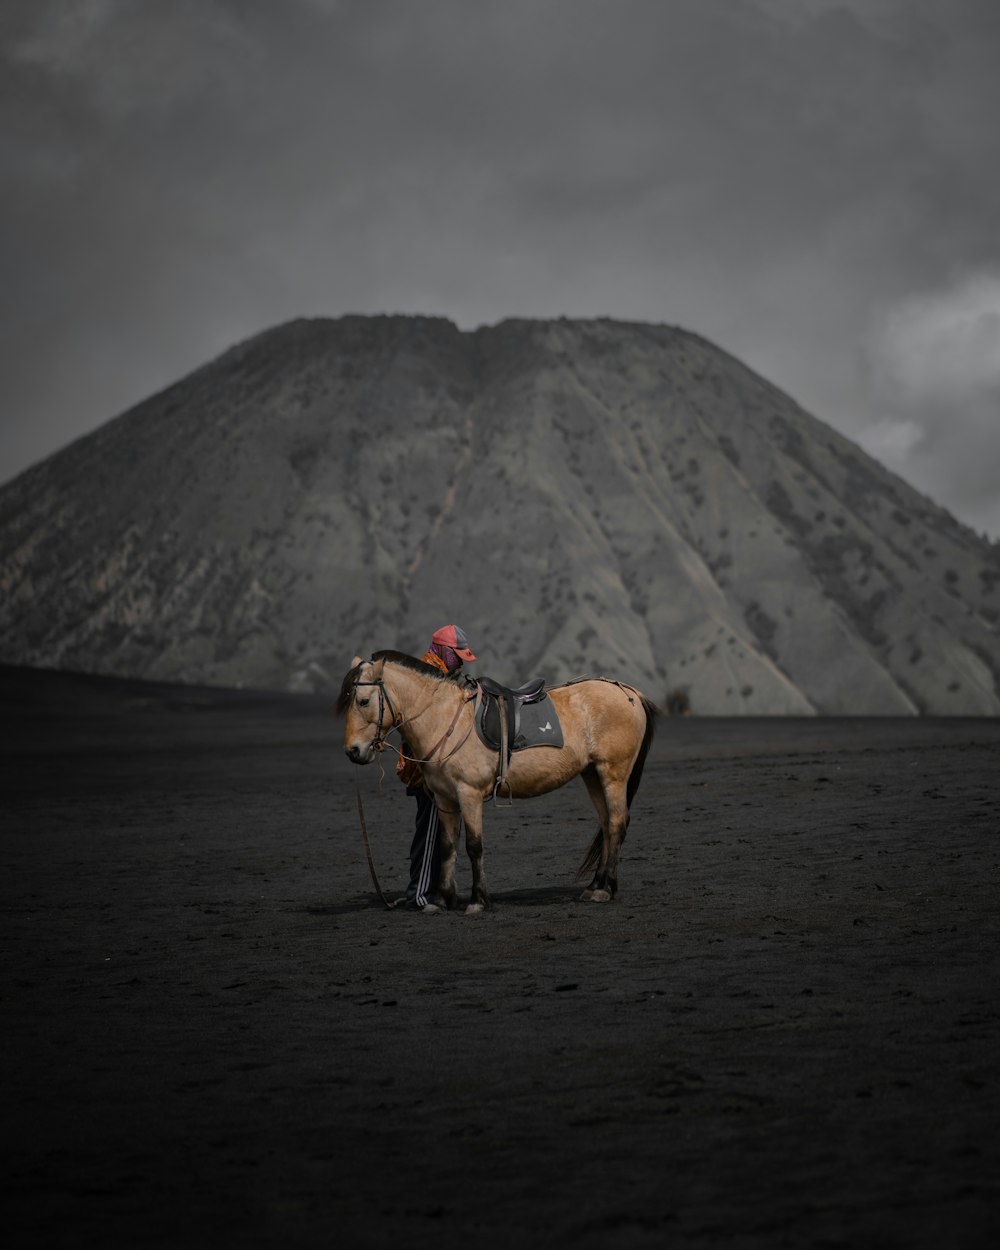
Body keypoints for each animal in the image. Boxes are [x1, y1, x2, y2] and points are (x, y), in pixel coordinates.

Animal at [340, 655, 660, 910]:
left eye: (363, 701)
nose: (353, 751)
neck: (445, 718)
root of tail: (630, 692)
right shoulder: (445, 799)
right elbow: (446, 847)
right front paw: (441, 900)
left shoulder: (468, 795)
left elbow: (474, 846)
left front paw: (478, 901)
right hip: (592, 774)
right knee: (606, 825)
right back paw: (595, 885)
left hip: (613, 773)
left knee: (616, 823)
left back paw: (607, 889)